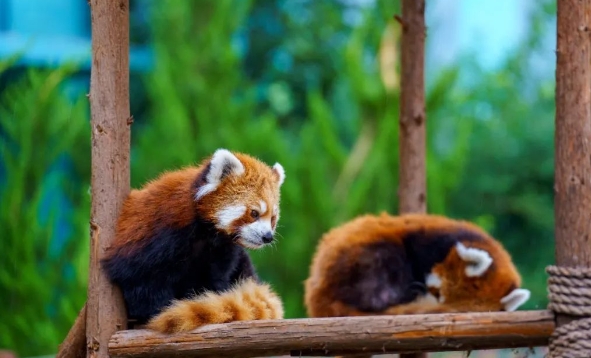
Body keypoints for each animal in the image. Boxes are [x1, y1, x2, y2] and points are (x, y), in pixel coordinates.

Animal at [102, 148, 286, 332]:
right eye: (254, 213)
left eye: (272, 218)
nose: (267, 237)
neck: (205, 233)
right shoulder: (155, 242)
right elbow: (142, 279)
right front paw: (156, 312)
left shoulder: (220, 252)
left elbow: (215, 280)